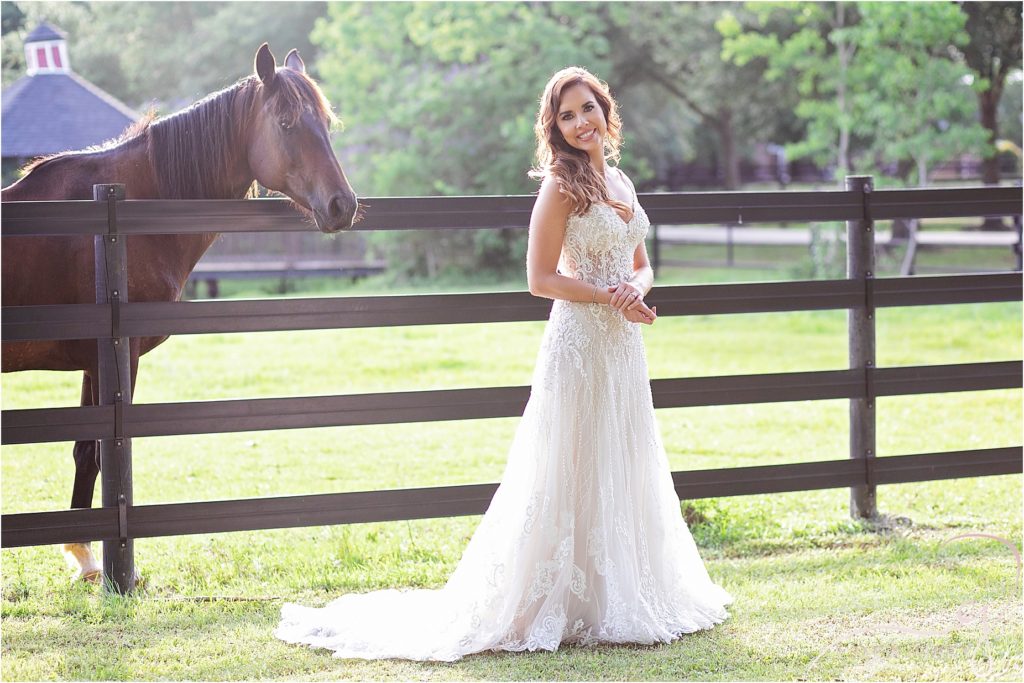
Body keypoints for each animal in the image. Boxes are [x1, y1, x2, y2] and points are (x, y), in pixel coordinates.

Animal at [1, 42, 360, 581]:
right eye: (286, 122)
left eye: (326, 121)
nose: (343, 205)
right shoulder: (116, 358)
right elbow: (99, 454)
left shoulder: (91, 363)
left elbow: (84, 452)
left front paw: (81, 554)